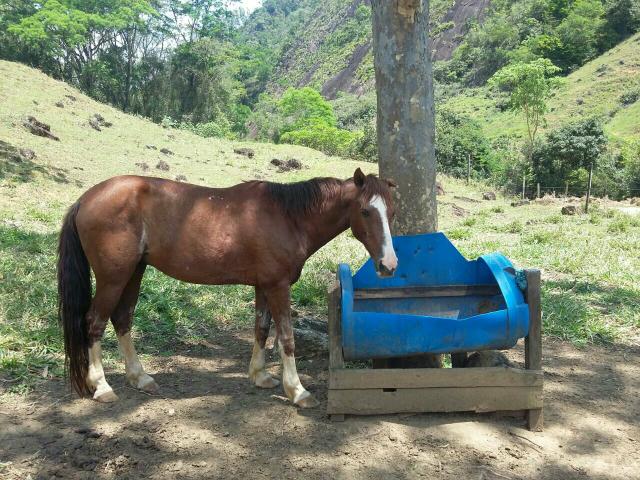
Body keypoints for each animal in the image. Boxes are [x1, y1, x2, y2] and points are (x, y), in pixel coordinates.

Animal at [57, 168, 398, 408]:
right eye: (366, 211)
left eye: (391, 212)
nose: (389, 265)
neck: (288, 217)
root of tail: (86, 199)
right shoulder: (278, 286)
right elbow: (286, 338)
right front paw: (297, 391)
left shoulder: (264, 286)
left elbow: (262, 329)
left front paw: (260, 376)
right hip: (113, 278)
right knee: (94, 323)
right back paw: (102, 386)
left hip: (133, 273)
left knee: (122, 319)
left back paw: (139, 378)